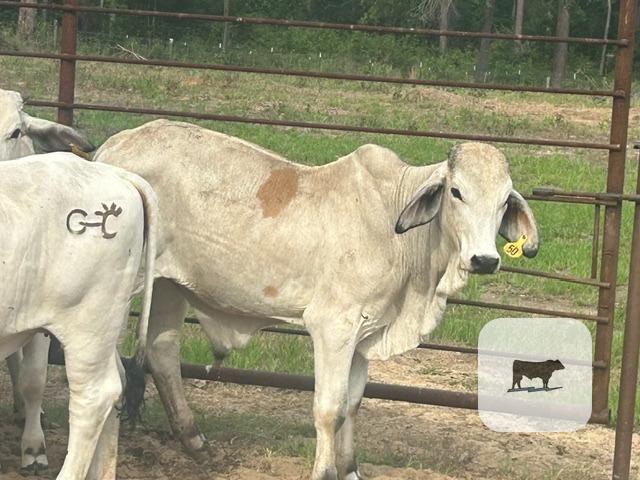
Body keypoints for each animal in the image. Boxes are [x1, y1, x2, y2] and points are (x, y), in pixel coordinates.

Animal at [95, 119, 539, 480]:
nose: (484, 259)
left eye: (504, 201)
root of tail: (112, 147)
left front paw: (350, 468)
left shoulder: (365, 333)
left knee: (162, 352)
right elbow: (330, 408)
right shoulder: (333, 327)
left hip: (168, 286)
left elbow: (353, 405)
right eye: (457, 192)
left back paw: (195, 442)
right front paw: (326, 471)